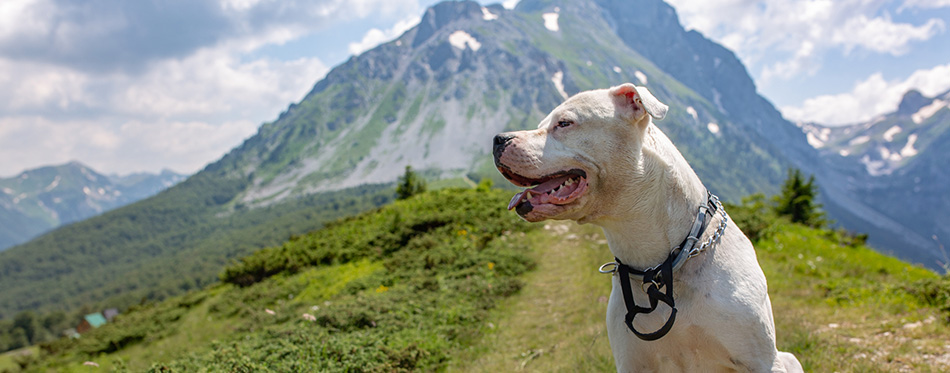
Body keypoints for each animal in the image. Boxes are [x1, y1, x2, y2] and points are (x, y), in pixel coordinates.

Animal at [494, 83, 808, 370]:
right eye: (541, 124)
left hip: (788, 359)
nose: (498, 139)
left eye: (564, 123)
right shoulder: (632, 362)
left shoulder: (763, 361)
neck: (658, 265)